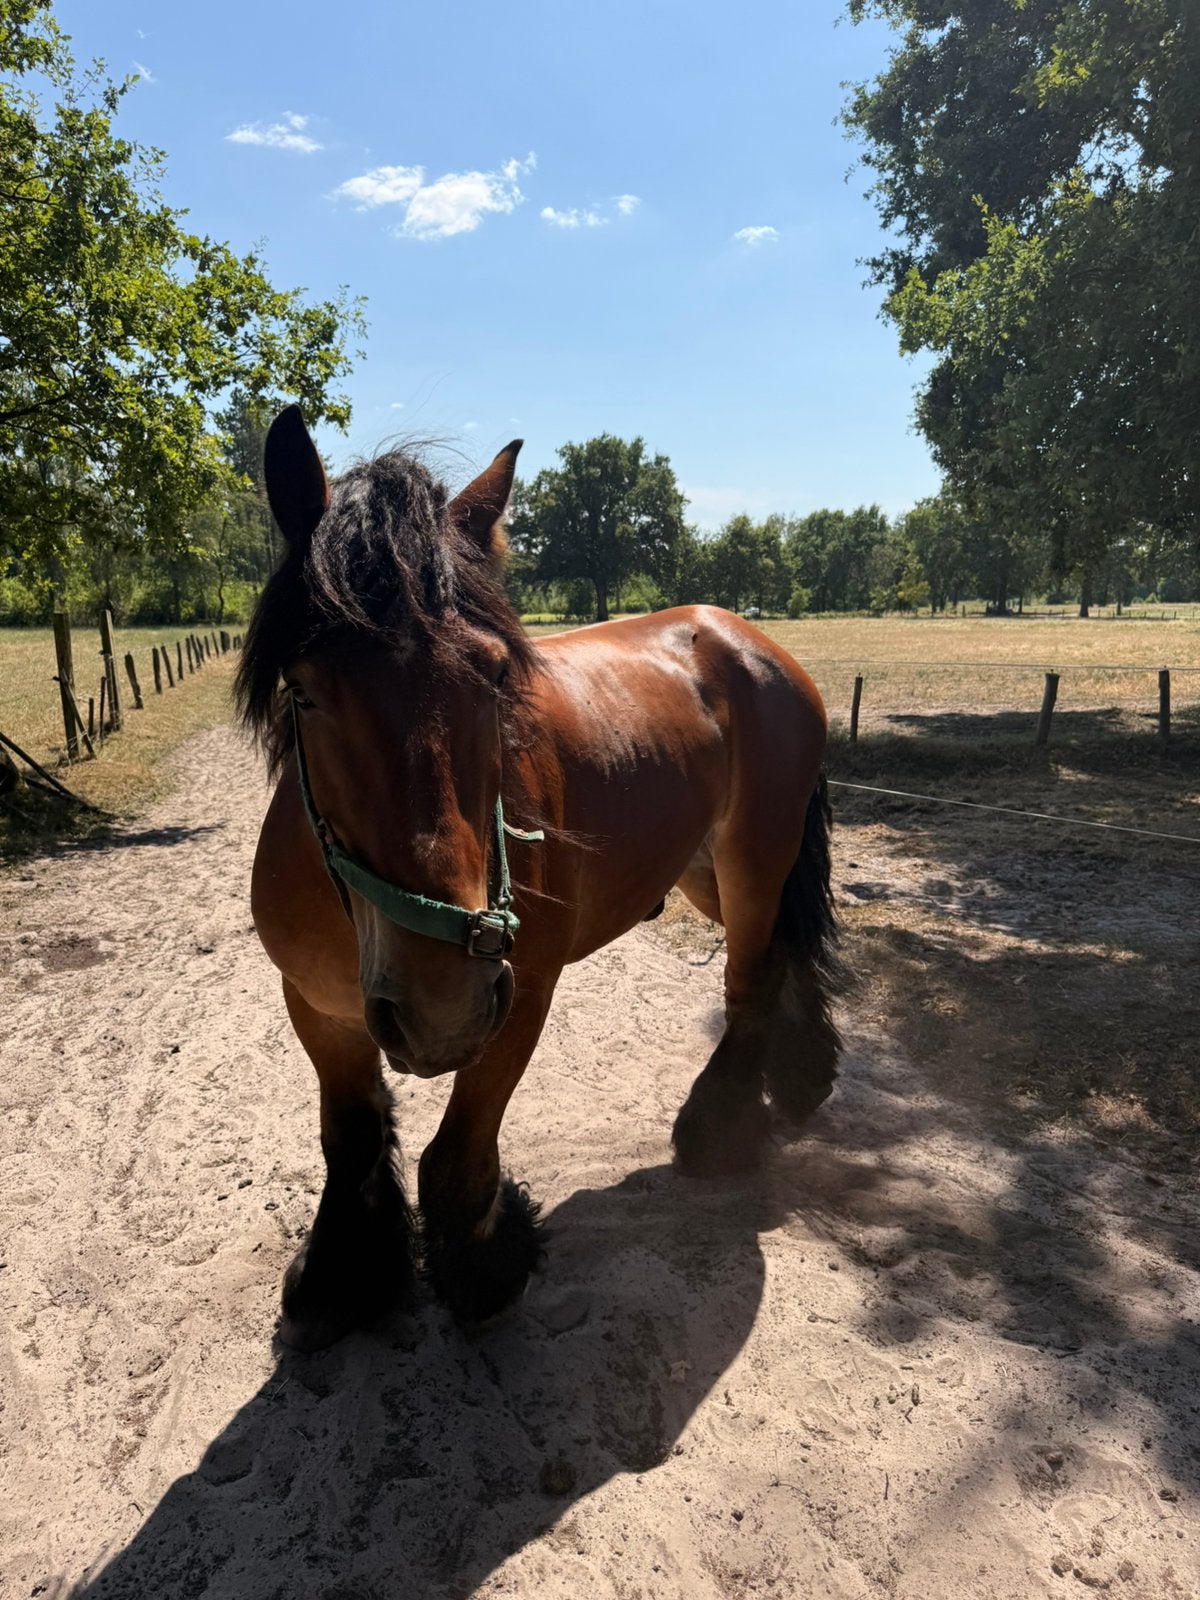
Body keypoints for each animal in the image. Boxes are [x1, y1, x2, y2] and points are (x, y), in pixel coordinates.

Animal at [237, 406, 840, 1351]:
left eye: (492, 676)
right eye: (303, 691)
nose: (440, 1002)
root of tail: (748, 639)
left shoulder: (518, 996)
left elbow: (455, 1162)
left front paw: (487, 1265)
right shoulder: (319, 1008)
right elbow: (352, 1138)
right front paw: (344, 1275)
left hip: (753, 864)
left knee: (752, 982)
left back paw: (720, 1133)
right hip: (706, 871)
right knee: (786, 953)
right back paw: (803, 1073)